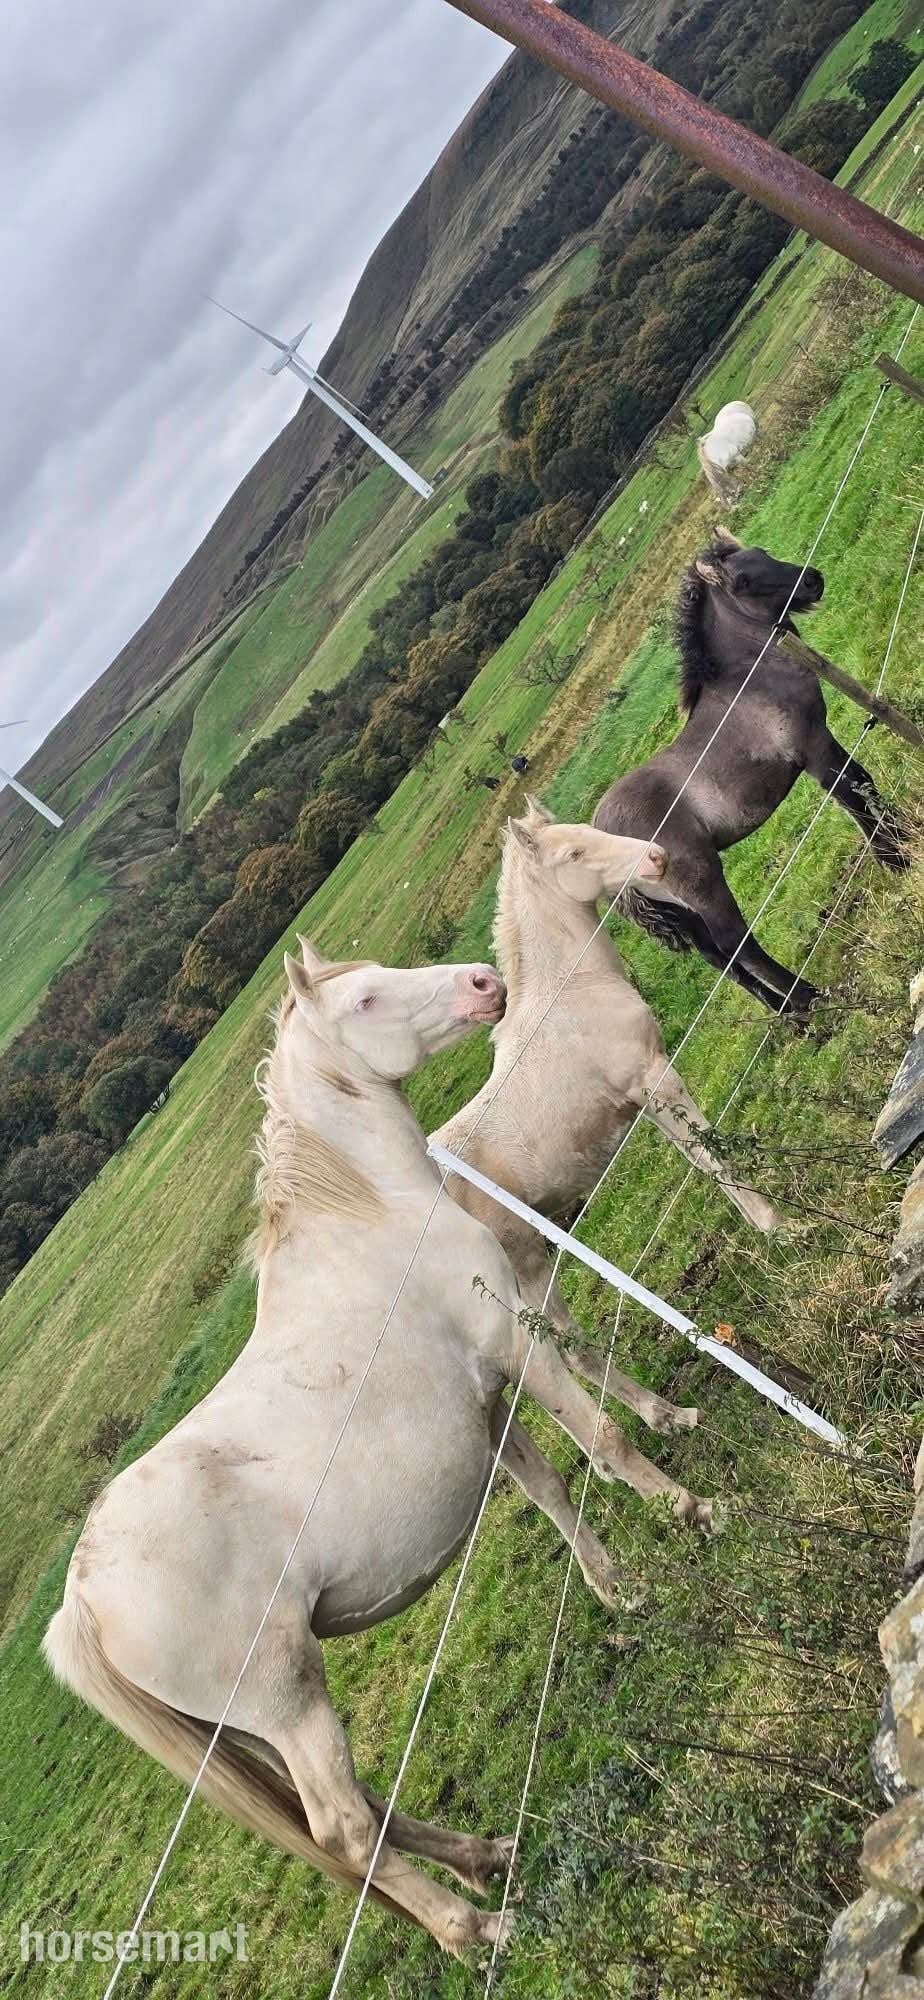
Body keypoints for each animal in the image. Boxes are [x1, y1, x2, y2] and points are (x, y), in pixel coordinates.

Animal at [43, 941, 712, 1956]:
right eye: (363, 998)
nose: (485, 983)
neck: (372, 1220)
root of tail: (82, 1597)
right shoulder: (516, 1347)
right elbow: (601, 1441)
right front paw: (694, 1511)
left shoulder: (485, 1405)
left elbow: (556, 1492)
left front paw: (624, 1591)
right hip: (289, 1703)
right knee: (346, 1831)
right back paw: (479, 1929)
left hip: (254, 1730)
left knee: (370, 1812)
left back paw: (488, 1857)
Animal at [434, 803, 778, 1419]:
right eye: (572, 853)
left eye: (586, 830)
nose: (656, 857)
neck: (570, 993)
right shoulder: (656, 1077)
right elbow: (711, 1157)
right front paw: (776, 1226)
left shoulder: (645, 1092)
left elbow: (699, 1157)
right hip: (525, 1268)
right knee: (565, 1351)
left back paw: (667, 1417)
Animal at [593, 535, 908, 1017]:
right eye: (742, 580)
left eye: (763, 553)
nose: (812, 580)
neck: (750, 677)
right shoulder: (812, 749)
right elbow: (853, 796)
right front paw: (898, 860)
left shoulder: (822, 739)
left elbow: (861, 786)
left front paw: (903, 846)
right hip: (703, 885)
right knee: (736, 944)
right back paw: (811, 1000)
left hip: (683, 912)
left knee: (718, 959)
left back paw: (790, 1015)